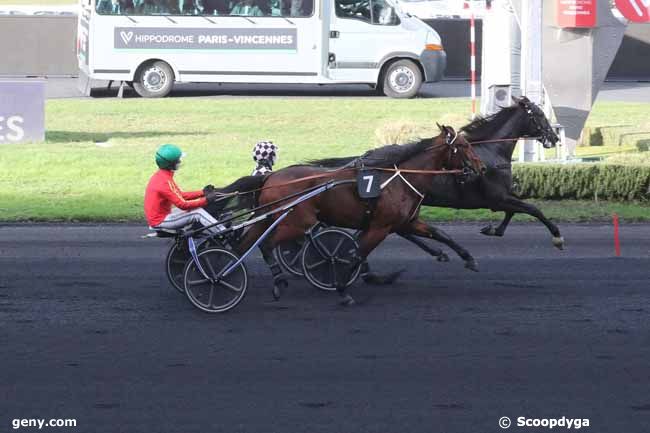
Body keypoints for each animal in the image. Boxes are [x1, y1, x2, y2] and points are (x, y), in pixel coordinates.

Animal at [225, 124, 484, 304]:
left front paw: (468, 258)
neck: (400, 179)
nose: (481, 167)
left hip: (268, 218)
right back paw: (276, 281)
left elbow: (441, 234)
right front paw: (342, 290)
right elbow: (358, 253)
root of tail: (270, 177)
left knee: (243, 247)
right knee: (267, 245)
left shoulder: (406, 222)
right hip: (297, 222)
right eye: (464, 145)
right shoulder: (380, 227)